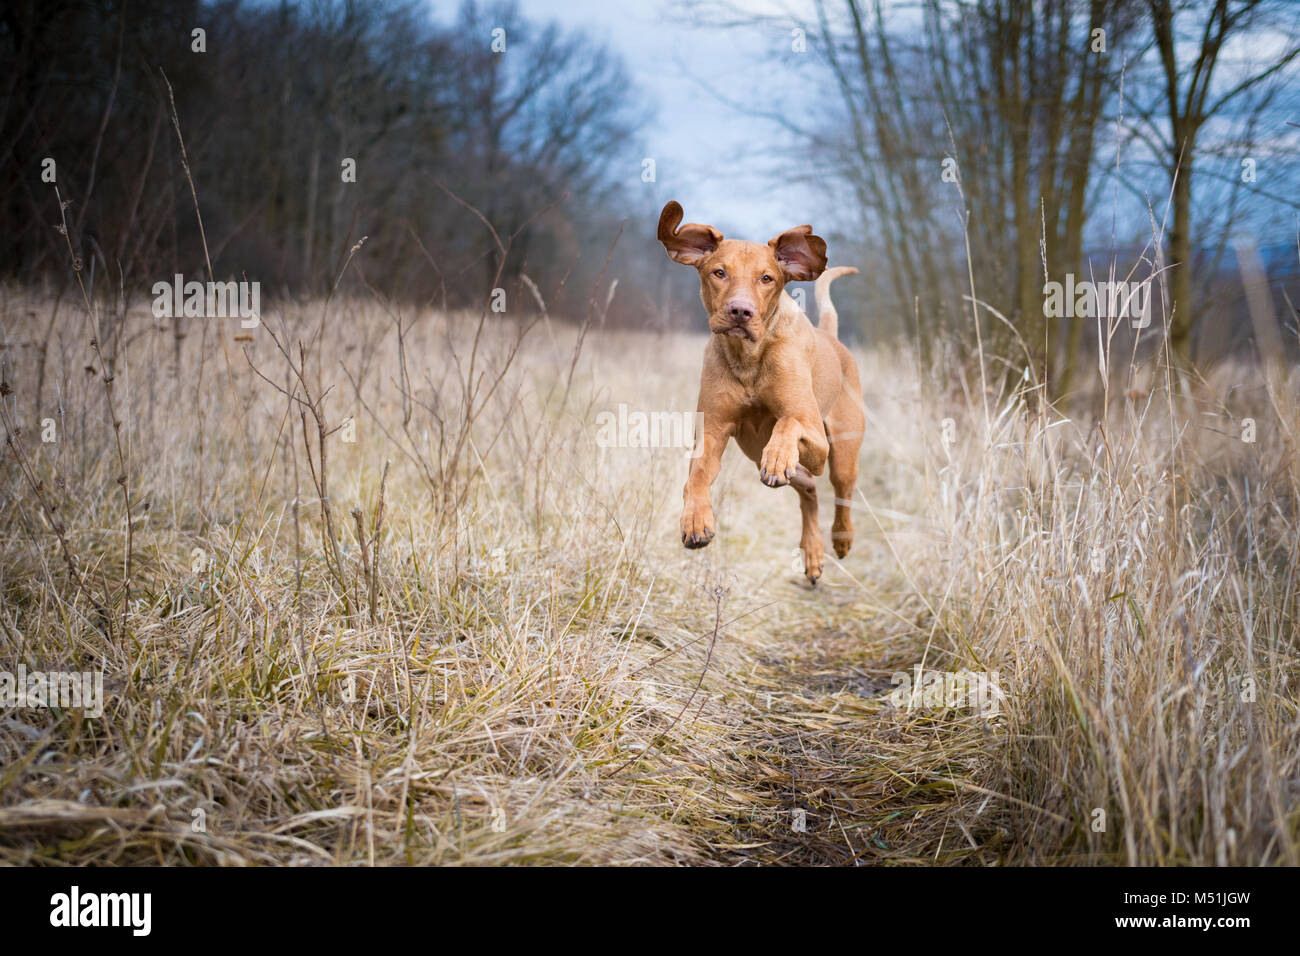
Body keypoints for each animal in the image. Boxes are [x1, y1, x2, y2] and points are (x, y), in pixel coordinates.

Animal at [660, 201, 863, 582]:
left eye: (767, 278)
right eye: (719, 272)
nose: (740, 311)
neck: (748, 358)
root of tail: (831, 338)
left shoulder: (816, 439)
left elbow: (788, 422)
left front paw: (780, 455)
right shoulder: (712, 433)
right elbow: (696, 475)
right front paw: (695, 520)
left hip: (842, 452)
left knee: (841, 491)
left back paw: (841, 538)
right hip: (757, 453)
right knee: (809, 489)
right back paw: (812, 551)